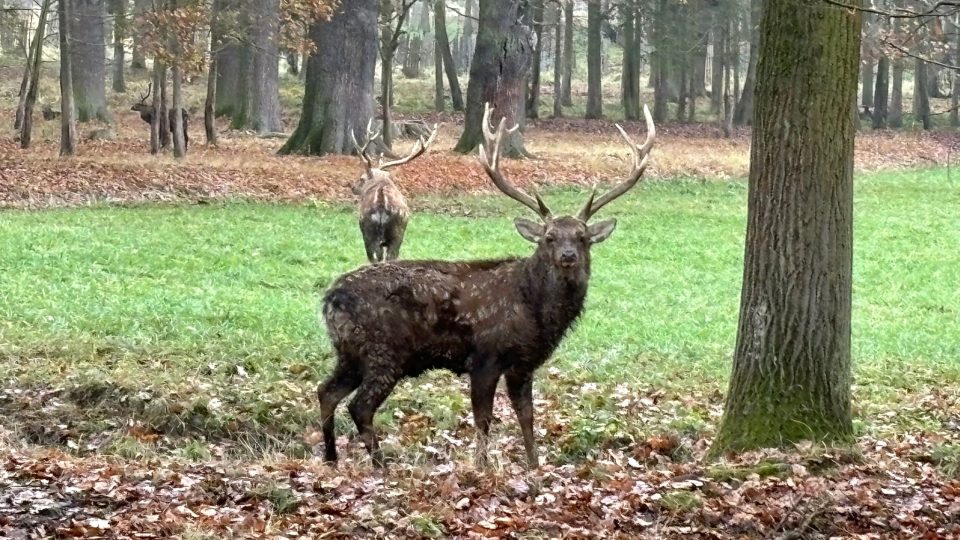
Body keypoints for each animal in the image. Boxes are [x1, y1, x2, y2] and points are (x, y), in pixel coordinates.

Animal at [350, 120, 440, 264]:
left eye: (361, 178)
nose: (352, 187)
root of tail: (382, 204)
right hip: (397, 231)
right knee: (388, 256)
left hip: (369, 231)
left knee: (376, 257)